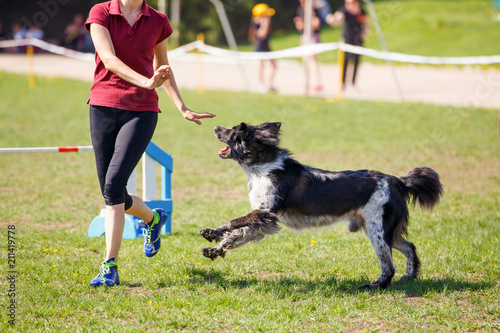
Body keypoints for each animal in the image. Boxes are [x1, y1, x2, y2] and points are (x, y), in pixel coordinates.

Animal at [199, 122, 442, 288]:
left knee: (388, 266)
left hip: (378, 231)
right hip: (381, 229)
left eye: (232, 132)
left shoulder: (264, 212)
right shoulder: (264, 222)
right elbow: (236, 235)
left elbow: (233, 223)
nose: (215, 126)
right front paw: (214, 249)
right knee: (410, 247)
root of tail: (398, 181)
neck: (262, 167)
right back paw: (409, 277)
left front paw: (212, 231)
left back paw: (374, 286)